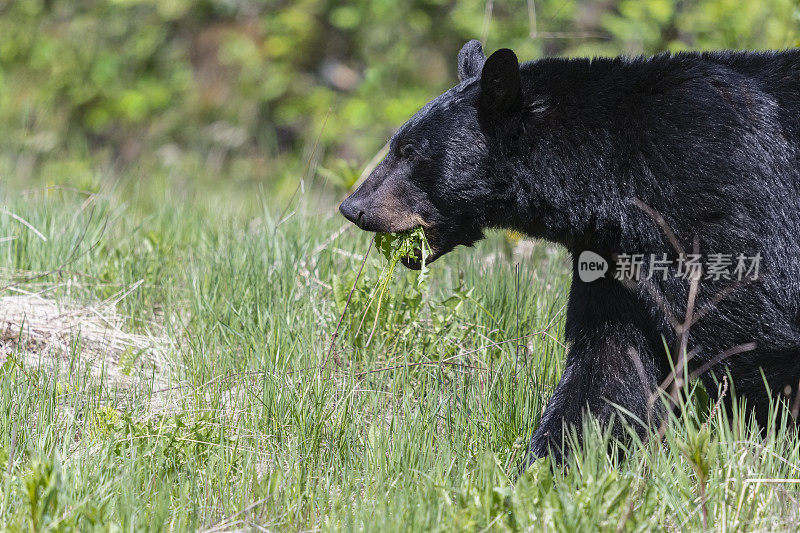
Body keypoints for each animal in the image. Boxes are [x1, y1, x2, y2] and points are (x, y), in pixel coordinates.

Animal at [338, 40, 800, 462]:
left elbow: (753, 330)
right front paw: (553, 467)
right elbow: (609, 367)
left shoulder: (713, 188)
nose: (353, 207)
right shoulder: (615, 254)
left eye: (410, 152)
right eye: (395, 144)